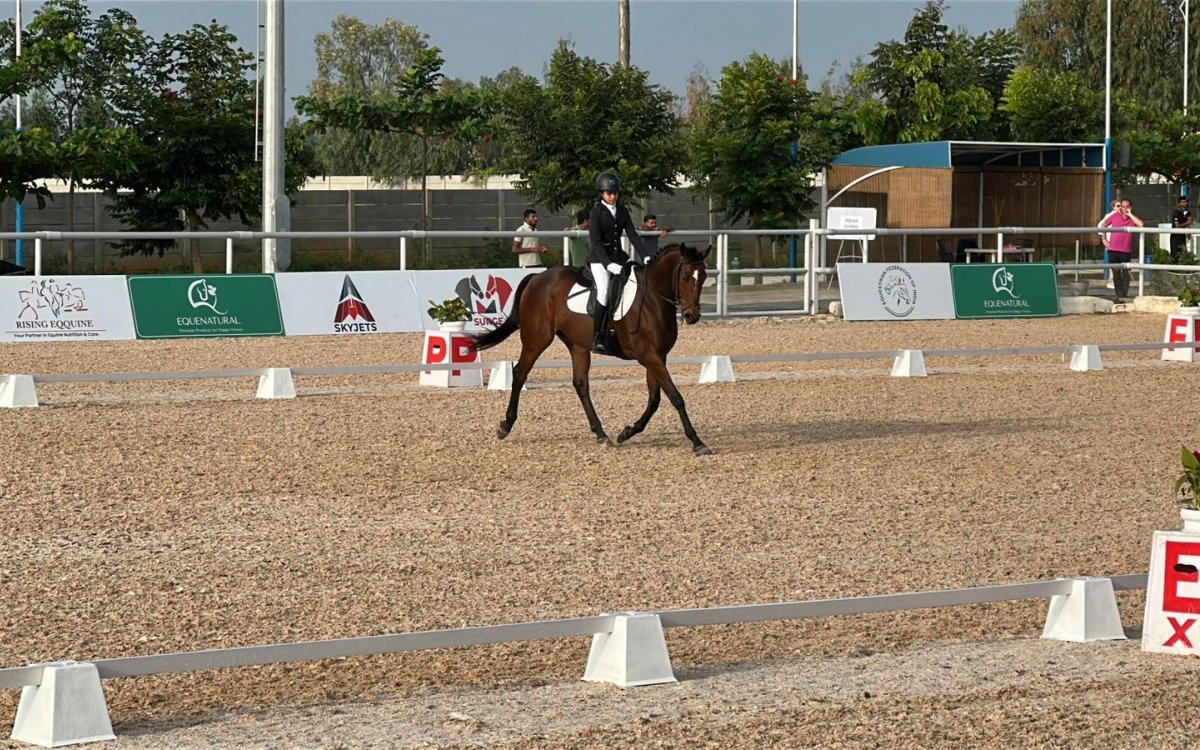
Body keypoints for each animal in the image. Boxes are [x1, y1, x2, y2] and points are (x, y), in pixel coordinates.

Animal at [468, 246, 710, 456]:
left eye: (704, 277)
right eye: (685, 277)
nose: (692, 316)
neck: (652, 299)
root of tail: (537, 277)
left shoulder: (657, 356)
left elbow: (655, 399)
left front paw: (626, 432)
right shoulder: (649, 356)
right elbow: (675, 397)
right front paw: (697, 442)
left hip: (577, 345)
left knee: (581, 384)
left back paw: (601, 433)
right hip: (536, 339)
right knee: (519, 373)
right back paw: (505, 425)